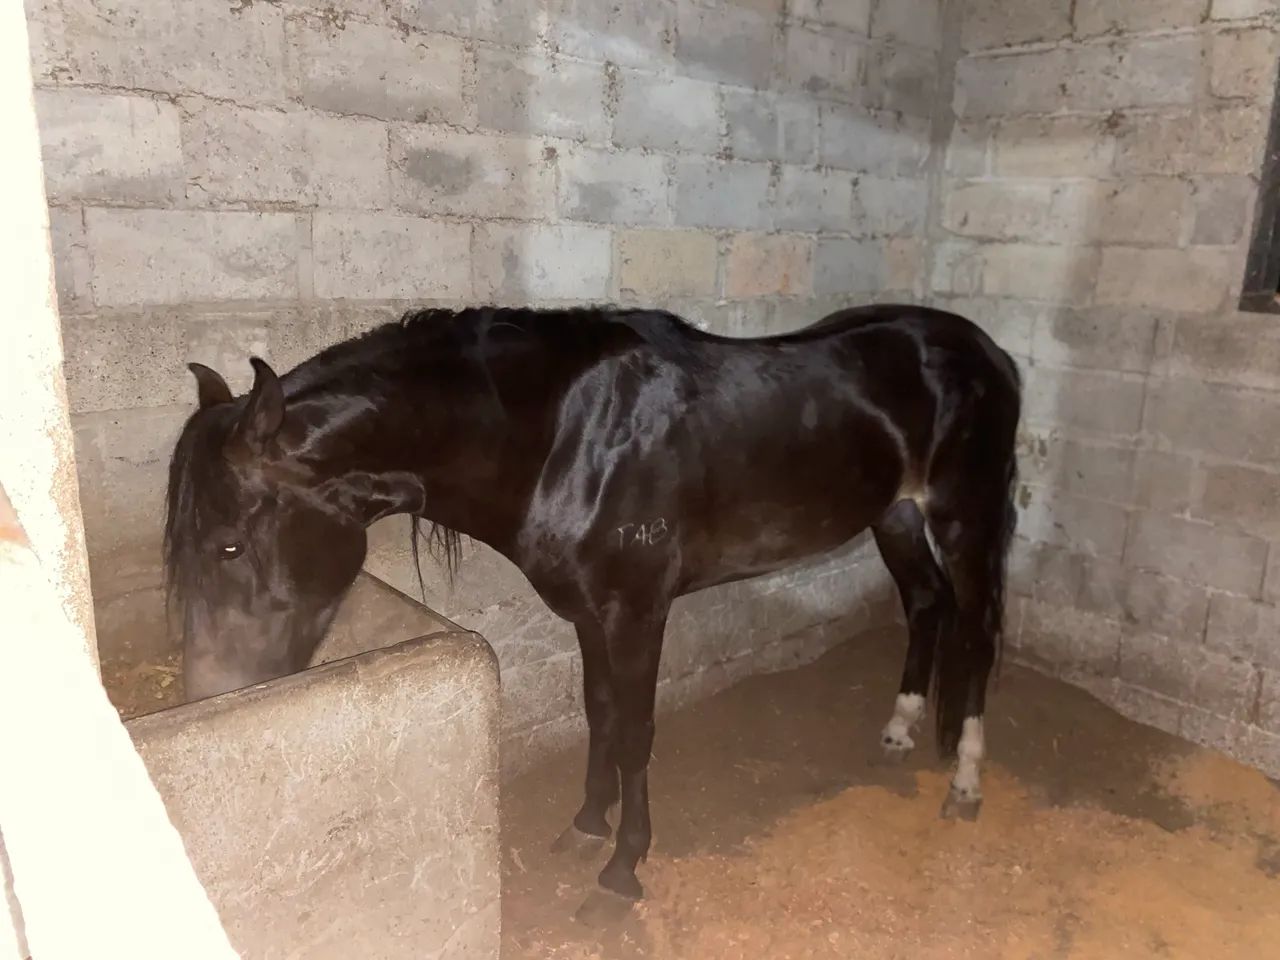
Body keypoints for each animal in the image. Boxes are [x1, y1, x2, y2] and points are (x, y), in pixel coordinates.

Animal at [163, 302, 1022, 902]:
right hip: (896, 515)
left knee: (977, 630)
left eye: (229, 546)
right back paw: (902, 730)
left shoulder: (638, 609)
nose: (207, 693)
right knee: (926, 605)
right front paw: (585, 827)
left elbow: (637, 730)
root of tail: (990, 353)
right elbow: (600, 714)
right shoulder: (586, 612)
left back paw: (967, 782)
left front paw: (623, 866)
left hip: (965, 517)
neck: (560, 439)